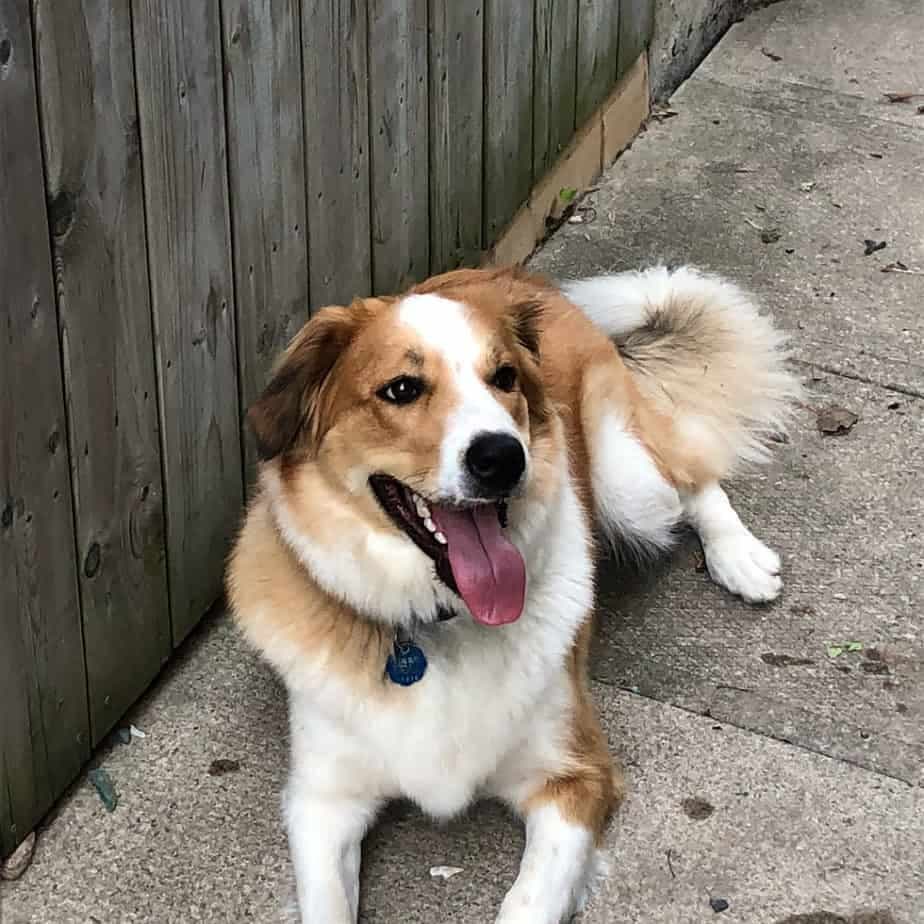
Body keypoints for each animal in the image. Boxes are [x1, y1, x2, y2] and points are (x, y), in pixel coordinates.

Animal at [226, 264, 800, 920]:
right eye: (402, 389)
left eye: (503, 378)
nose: (503, 456)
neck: (437, 623)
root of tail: (516, 274)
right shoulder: (321, 804)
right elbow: (326, 904)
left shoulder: (576, 778)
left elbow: (527, 902)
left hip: (630, 487)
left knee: (693, 477)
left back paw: (740, 558)